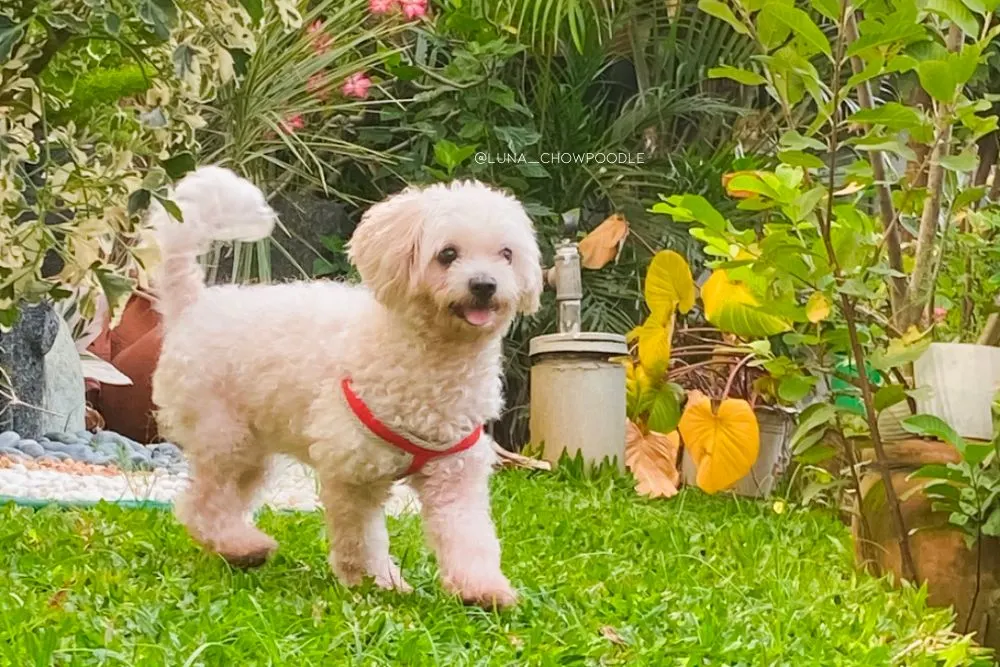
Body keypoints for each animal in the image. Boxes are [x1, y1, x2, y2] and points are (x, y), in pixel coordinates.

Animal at [148, 167, 540, 612]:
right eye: (447, 254)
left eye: (506, 254)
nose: (484, 285)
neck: (430, 361)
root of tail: (193, 305)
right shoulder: (353, 473)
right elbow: (362, 537)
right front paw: (375, 581)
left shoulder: (455, 474)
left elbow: (469, 534)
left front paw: (482, 588)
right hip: (225, 436)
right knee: (200, 504)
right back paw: (242, 547)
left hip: (251, 451)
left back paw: (241, 546)